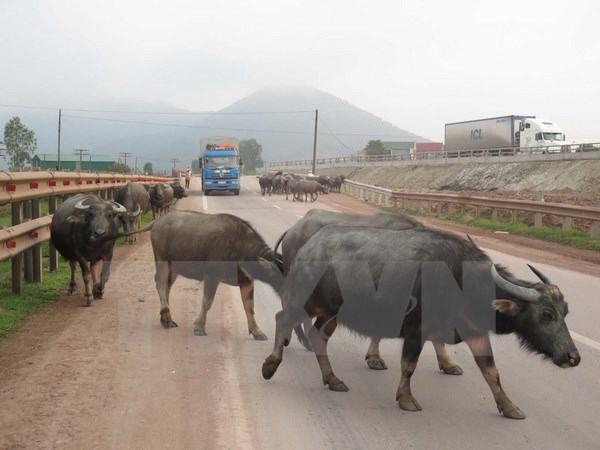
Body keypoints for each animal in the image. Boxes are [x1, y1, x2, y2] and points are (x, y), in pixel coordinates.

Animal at [149, 213, 282, 340]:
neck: (241, 247)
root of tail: (157, 222)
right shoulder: (212, 277)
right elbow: (207, 302)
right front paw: (199, 327)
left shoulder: (247, 281)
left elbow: (250, 307)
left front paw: (257, 331)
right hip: (162, 261)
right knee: (160, 284)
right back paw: (166, 316)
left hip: (174, 268)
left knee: (167, 287)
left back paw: (166, 319)